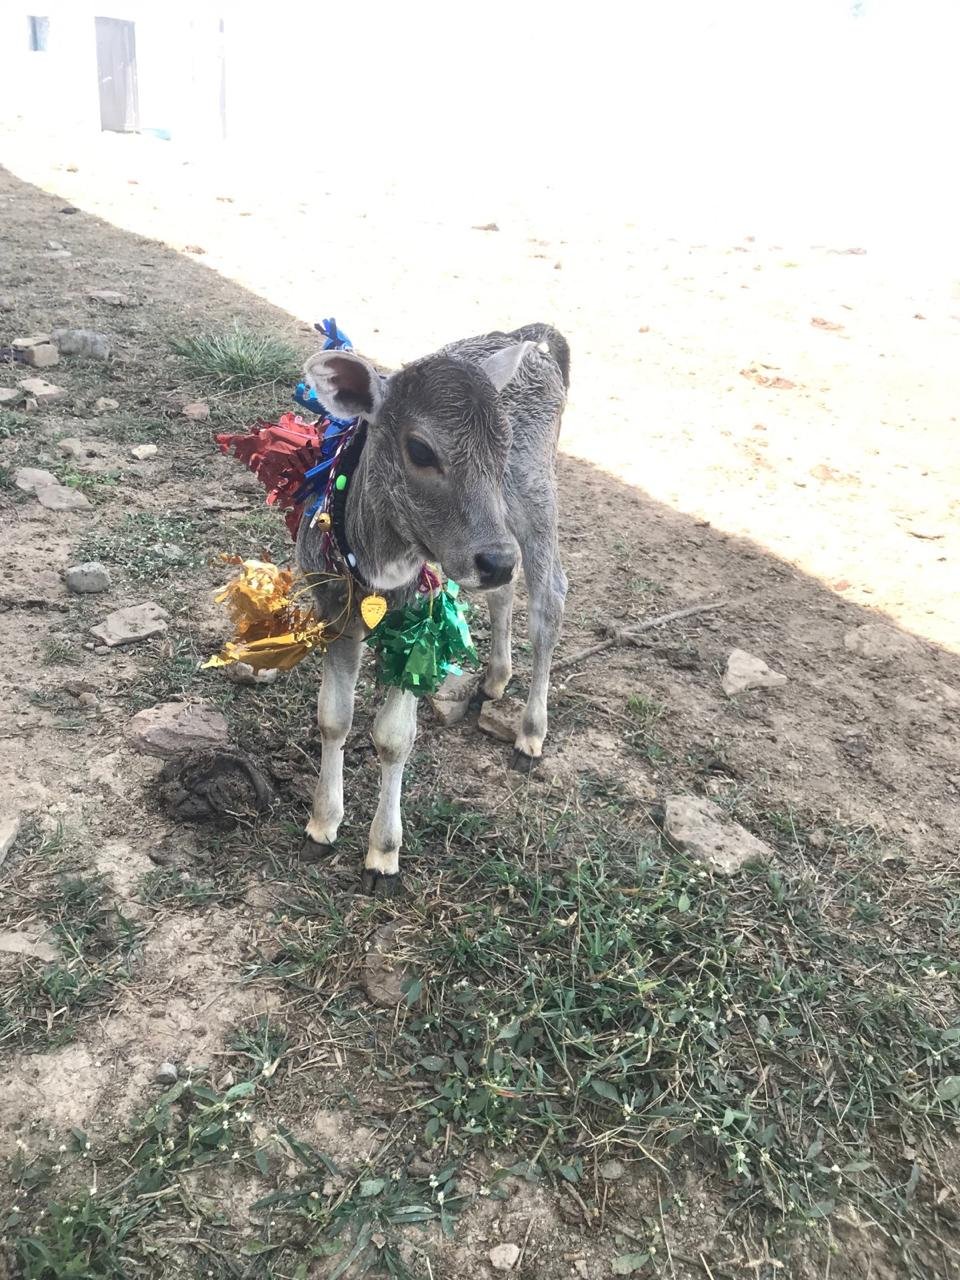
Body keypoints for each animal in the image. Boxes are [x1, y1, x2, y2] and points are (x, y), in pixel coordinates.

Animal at [296, 324, 569, 894]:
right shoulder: (333, 606)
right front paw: (321, 824)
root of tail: (529, 338)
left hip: (535, 496)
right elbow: (333, 718)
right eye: (420, 449)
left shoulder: (422, 619)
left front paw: (383, 854)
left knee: (549, 597)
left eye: (503, 442)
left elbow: (394, 737)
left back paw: (531, 732)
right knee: (504, 590)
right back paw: (495, 676)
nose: (494, 560)